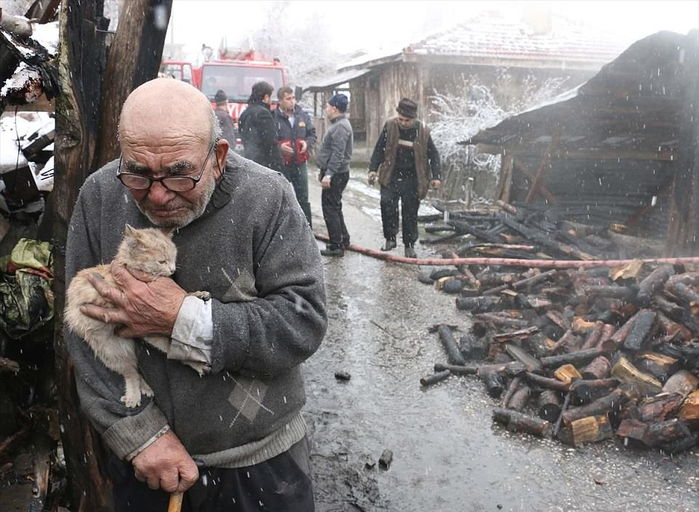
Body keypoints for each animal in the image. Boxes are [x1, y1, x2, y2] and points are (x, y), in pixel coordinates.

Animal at [65, 224, 208, 408]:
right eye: (162, 261)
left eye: (173, 258)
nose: (172, 269)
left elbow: (182, 296)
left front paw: (196, 294)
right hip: (111, 351)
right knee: (131, 372)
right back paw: (134, 396)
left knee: (170, 351)